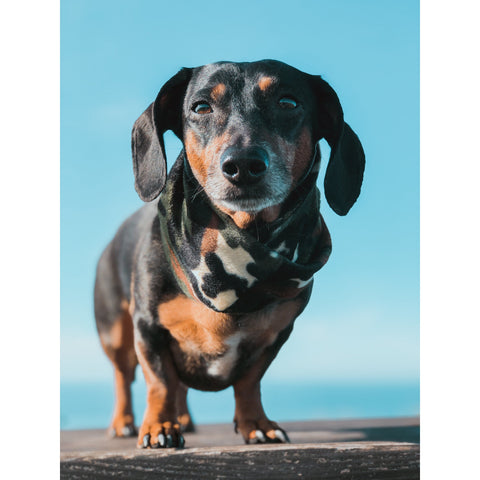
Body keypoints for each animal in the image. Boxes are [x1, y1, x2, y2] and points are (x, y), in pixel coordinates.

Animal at [94, 60, 364, 450]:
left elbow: (249, 382)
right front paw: (159, 427)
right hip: (115, 331)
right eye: (201, 107)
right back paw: (126, 421)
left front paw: (257, 424)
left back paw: (183, 418)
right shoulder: (148, 327)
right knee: (123, 375)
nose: (243, 165)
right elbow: (159, 381)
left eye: (288, 102)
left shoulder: (275, 333)